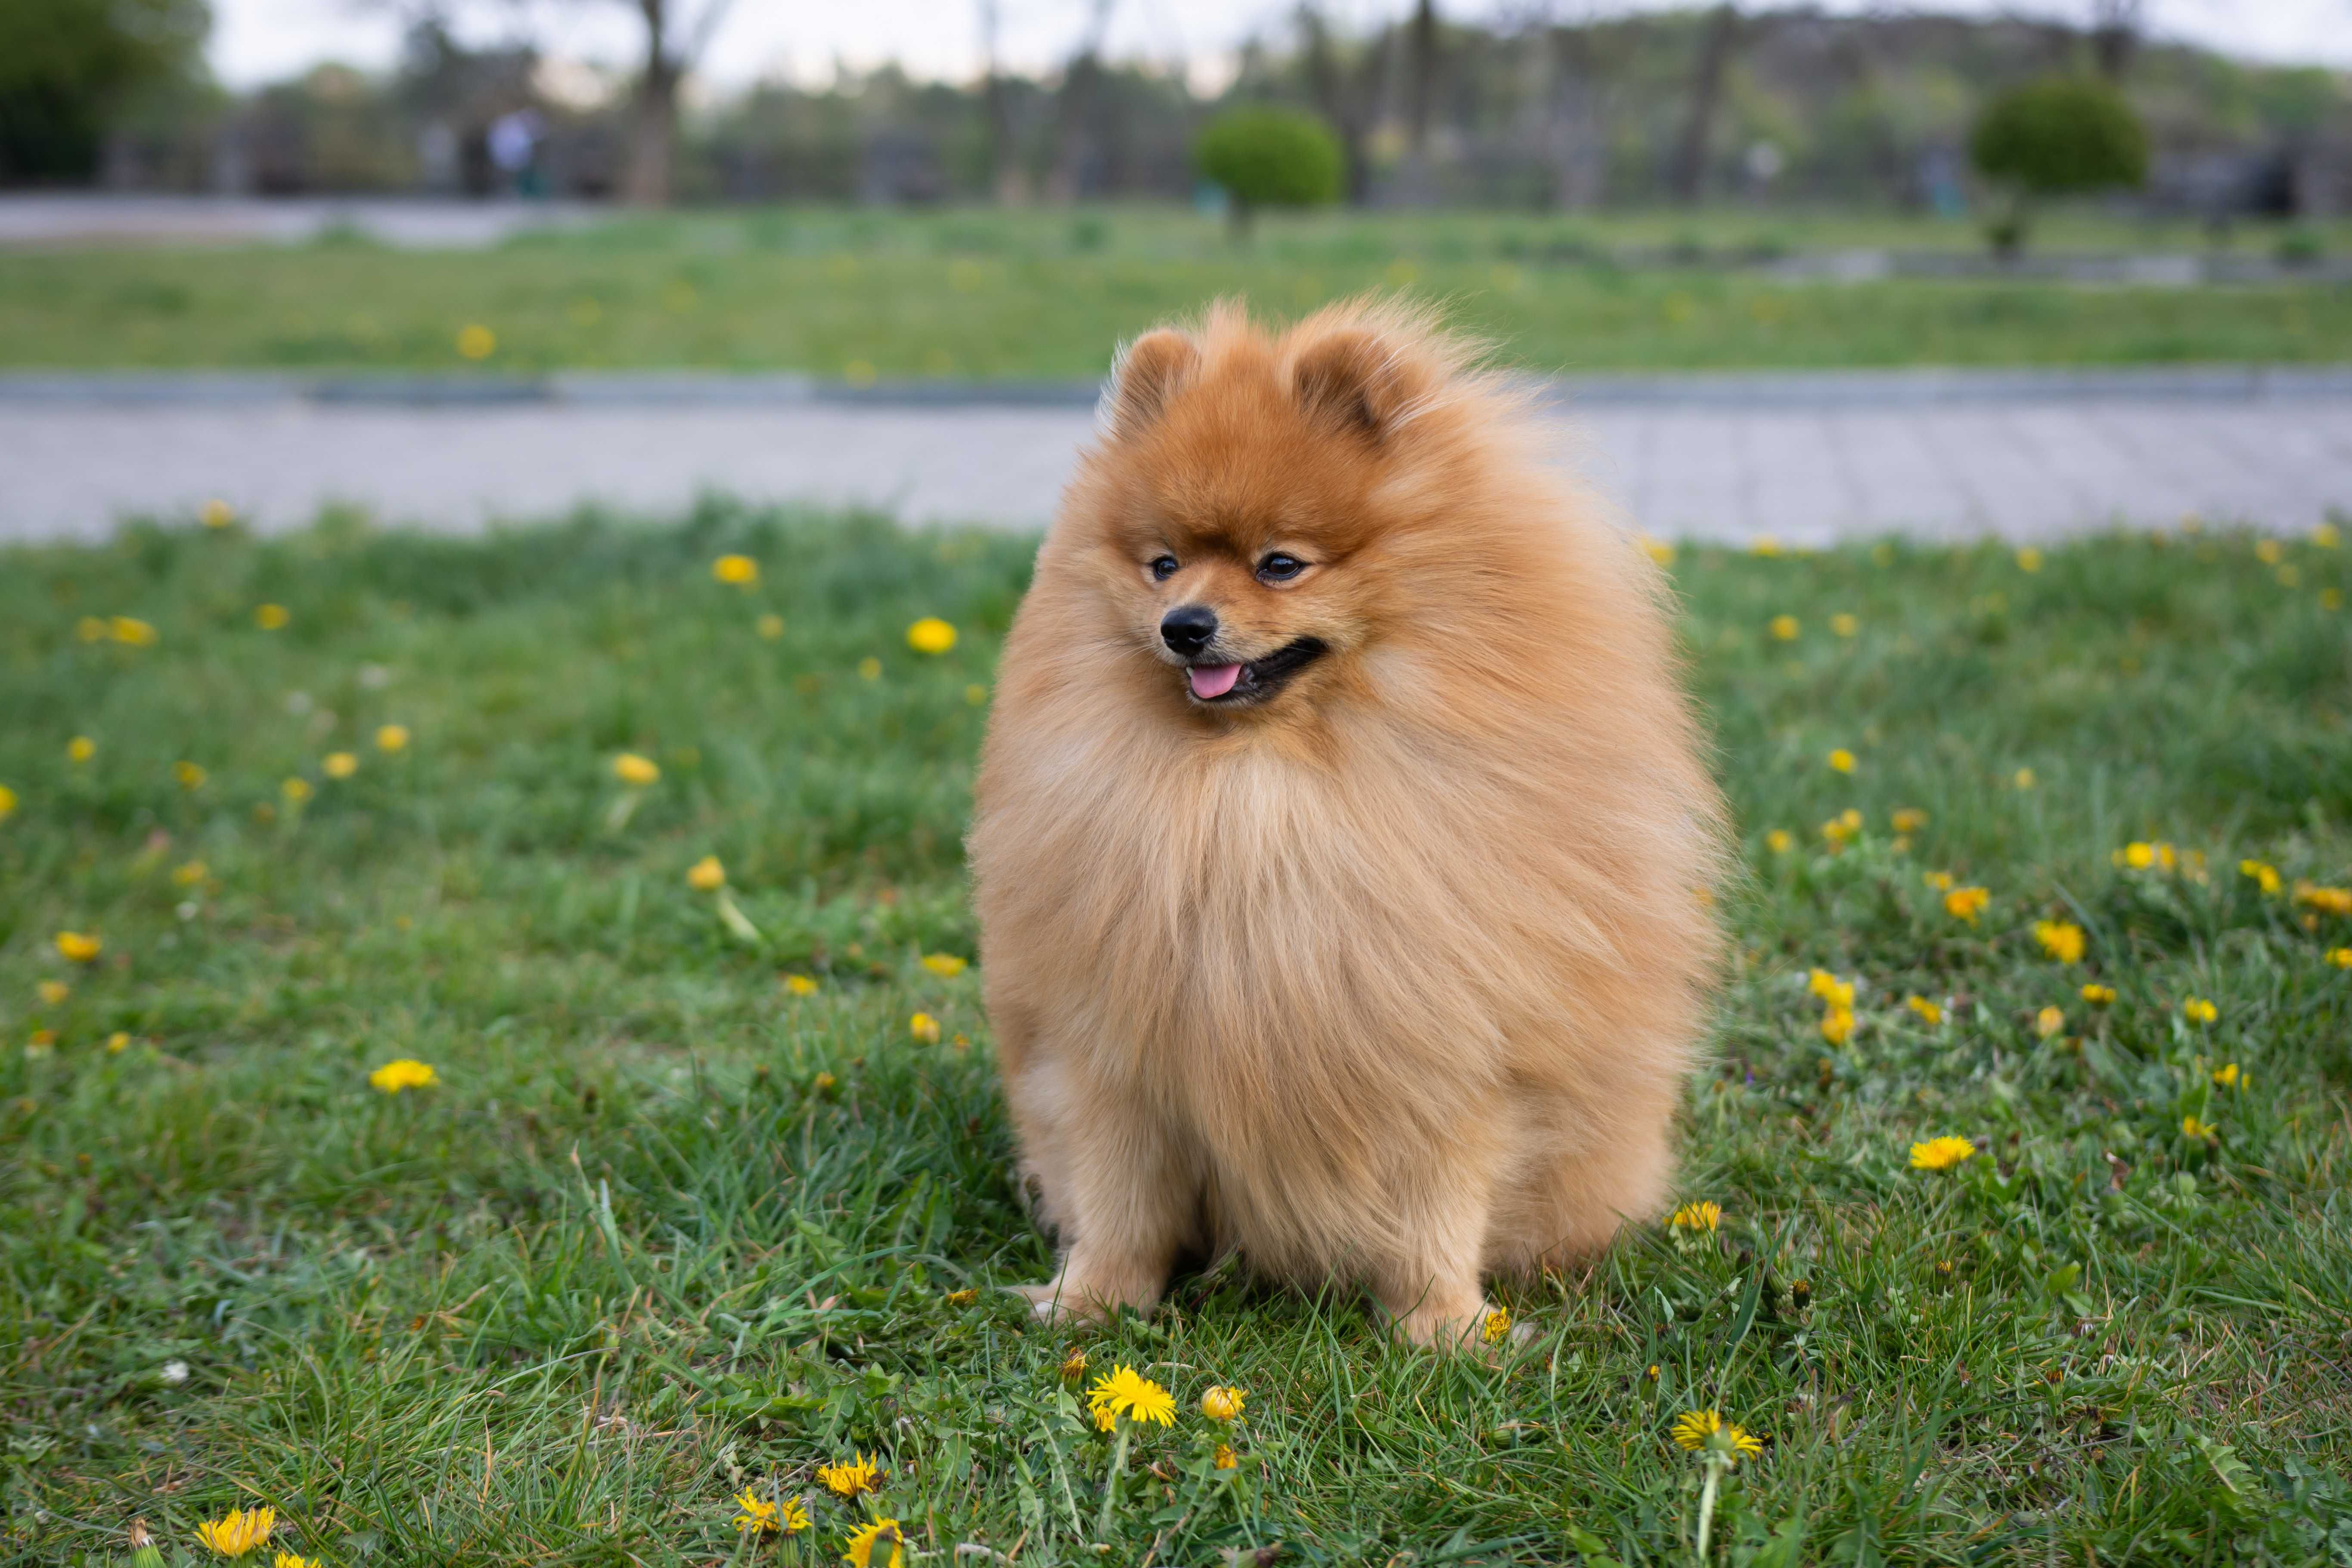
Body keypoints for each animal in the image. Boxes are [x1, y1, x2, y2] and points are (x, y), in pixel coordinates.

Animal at [964, 303, 1722, 1354]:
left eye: (1280, 564)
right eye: (1162, 564)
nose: (1182, 624)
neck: (1256, 794)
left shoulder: (1447, 1058)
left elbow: (1436, 1208)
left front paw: (1445, 1328)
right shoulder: (1114, 1050)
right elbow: (1122, 1198)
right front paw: (1094, 1302)